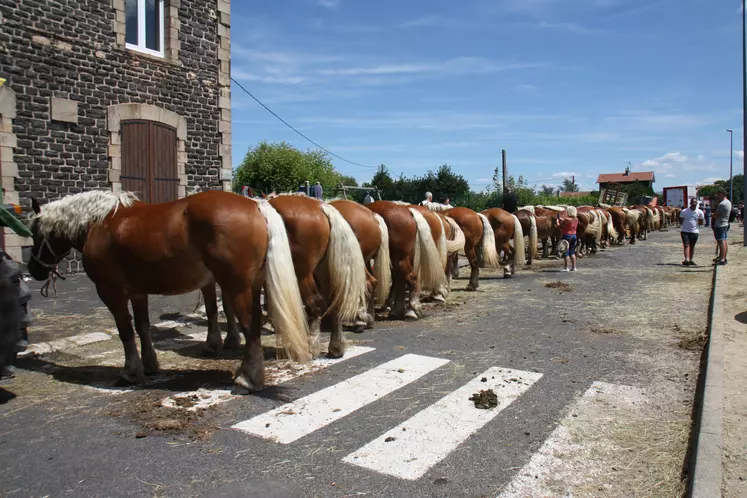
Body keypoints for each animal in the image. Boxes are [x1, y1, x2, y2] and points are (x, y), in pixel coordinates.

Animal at [27, 190, 310, 392]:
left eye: (34, 232)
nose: (33, 269)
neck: (99, 225)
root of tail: (256, 206)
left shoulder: (111, 292)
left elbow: (125, 331)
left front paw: (130, 372)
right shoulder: (137, 292)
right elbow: (142, 327)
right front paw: (150, 365)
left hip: (236, 287)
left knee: (251, 327)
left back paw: (248, 379)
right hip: (251, 286)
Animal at [222, 193, 372, 360]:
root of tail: (321, 206)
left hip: (303, 273)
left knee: (318, 303)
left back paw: (313, 345)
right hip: (326, 270)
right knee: (339, 299)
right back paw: (338, 344)